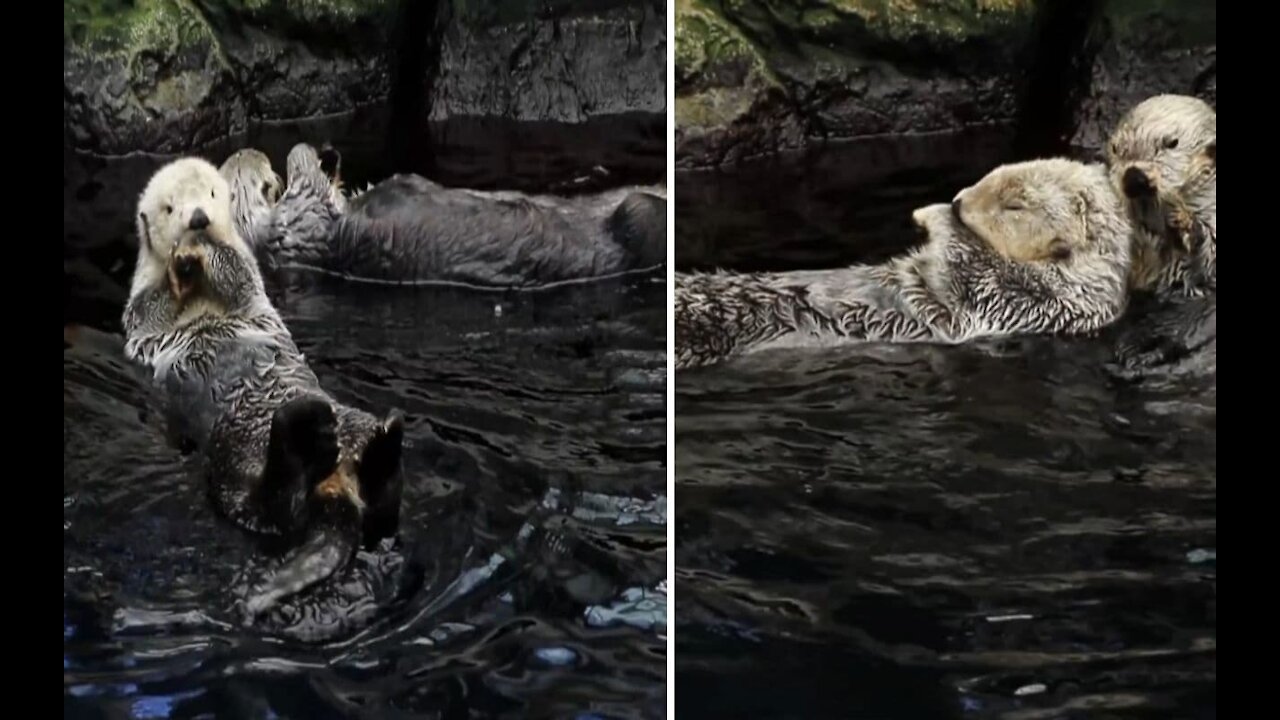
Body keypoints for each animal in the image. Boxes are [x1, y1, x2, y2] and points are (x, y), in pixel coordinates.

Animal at [122, 154, 404, 620]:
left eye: (212, 195)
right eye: (170, 207)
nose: (198, 220)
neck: (199, 291)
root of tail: (334, 486)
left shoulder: (247, 276)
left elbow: (235, 270)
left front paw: (200, 251)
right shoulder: (139, 310)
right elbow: (153, 307)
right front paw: (182, 260)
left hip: (350, 427)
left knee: (379, 510)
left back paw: (382, 438)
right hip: (231, 464)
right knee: (273, 507)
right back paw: (307, 432)